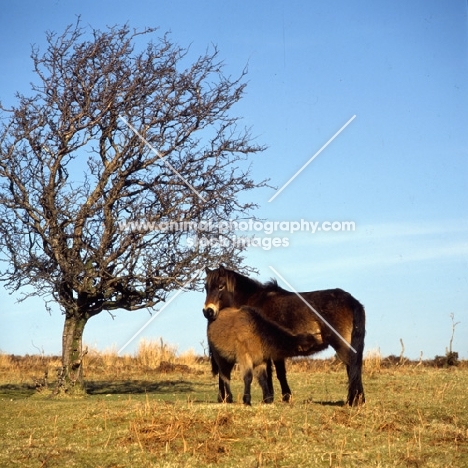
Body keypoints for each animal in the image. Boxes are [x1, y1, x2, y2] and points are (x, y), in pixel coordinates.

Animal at [204, 266, 366, 406]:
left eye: (221, 286)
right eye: (206, 287)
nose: (208, 311)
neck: (255, 300)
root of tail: (351, 300)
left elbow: (274, 373)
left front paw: (272, 398)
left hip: (342, 345)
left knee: (352, 368)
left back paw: (354, 401)